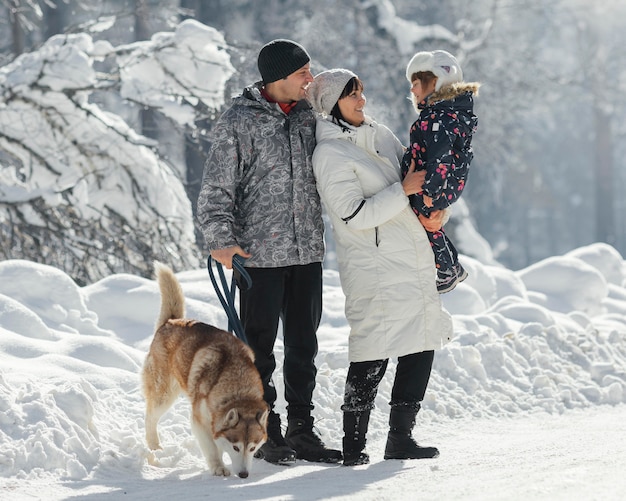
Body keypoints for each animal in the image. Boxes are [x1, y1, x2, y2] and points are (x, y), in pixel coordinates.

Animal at [144, 262, 268, 476]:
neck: (236, 387)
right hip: (164, 395)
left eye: (252, 448)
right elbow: (212, 448)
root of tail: (170, 321)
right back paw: (155, 447)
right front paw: (218, 467)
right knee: (150, 418)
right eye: (236, 448)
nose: (244, 475)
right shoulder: (199, 421)